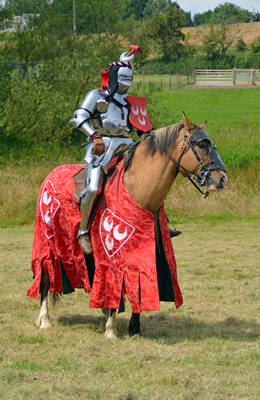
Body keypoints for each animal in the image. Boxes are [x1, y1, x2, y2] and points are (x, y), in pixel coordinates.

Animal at [30, 113, 228, 338]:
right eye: (201, 144)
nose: (222, 179)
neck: (139, 190)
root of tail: (49, 176)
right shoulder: (113, 256)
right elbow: (115, 283)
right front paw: (110, 329)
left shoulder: (150, 254)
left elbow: (141, 284)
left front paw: (134, 327)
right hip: (47, 242)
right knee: (46, 275)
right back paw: (44, 319)